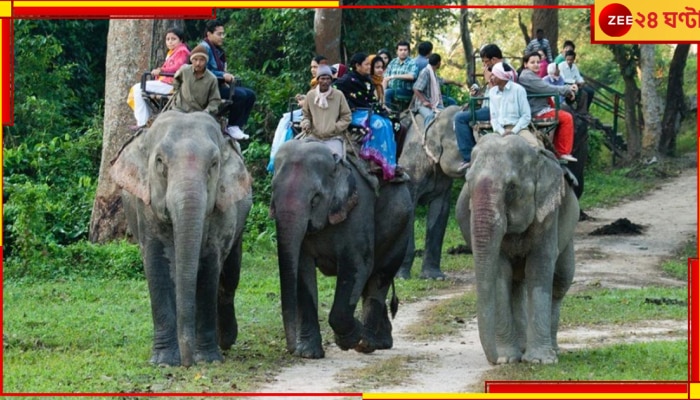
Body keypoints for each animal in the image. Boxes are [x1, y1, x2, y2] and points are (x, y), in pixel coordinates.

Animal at [109, 109, 252, 366]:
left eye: (214, 164)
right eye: (159, 162)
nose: (188, 364)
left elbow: (208, 266)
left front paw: (208, 360)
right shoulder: (144, 207)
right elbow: (156, 263)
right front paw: (164, 361)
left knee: (229, 278)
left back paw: (225, 340)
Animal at [268, 139, 410, 358]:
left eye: (315, 198)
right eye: (273, 193)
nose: (291, 350)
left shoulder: (358, 210)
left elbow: (356, 266)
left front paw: (350, 338)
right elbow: (302, 270)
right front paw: (308, 354)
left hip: (401, 228)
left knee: (380, 276)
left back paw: (366, 343)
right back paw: (381, 342)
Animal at [454, 134, 580, 366]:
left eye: (511, 187)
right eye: (468, 182)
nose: (494, 360)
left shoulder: (548, 215)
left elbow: (539, 268)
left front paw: (540, 361)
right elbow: (499, 272)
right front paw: (507, 359)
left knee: (560, 282)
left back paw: (553, 351)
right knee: (516, 283)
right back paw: (521, 349)